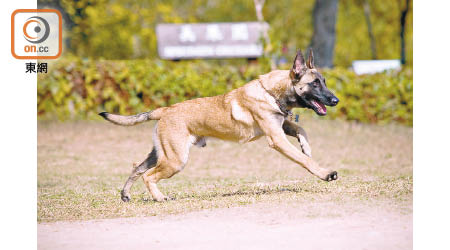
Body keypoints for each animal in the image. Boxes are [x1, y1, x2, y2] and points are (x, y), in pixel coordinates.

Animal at [98, 48, 338, 201]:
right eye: (315, 83)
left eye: (324, 81)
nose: (335, 100)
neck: (270, 92)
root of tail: (165, 110)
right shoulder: (276, 138)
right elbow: (304, 161)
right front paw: (325, 173)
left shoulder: (280, 125)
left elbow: (300, 129)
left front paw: (306, 146)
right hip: (175, 160)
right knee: (148, 175)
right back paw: (159, 198)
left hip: (161, 155)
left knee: (137, 168)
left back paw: (126, 194)